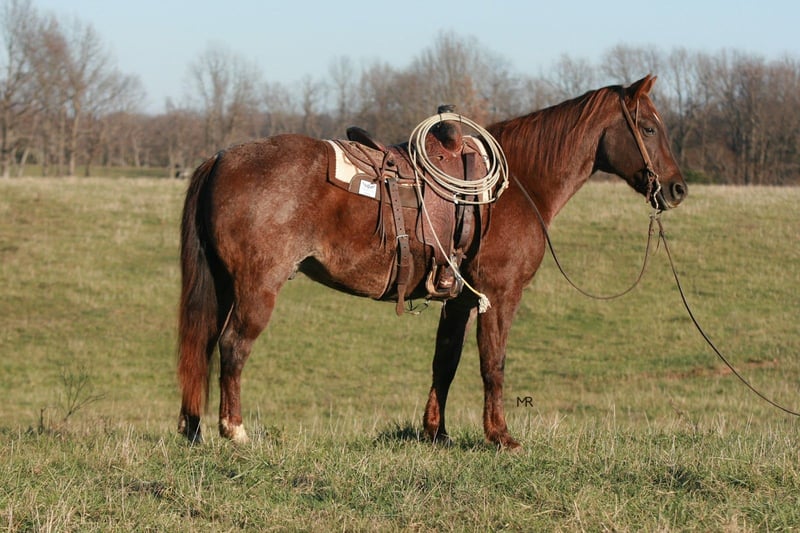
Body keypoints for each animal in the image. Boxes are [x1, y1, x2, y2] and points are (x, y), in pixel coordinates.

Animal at [177, 74, 687, 449]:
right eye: (648, 127)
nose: (678, 188)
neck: (517, 186)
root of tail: (221, 158)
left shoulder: (459, 300)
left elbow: (447, 361)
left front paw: (435, 433)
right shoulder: (499, 295)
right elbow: (493, 363)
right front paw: (500, 436)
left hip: (223, 286)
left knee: (203, 345)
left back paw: (194, 429)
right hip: (256, 288)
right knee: (233, 346)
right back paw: (235, 430)